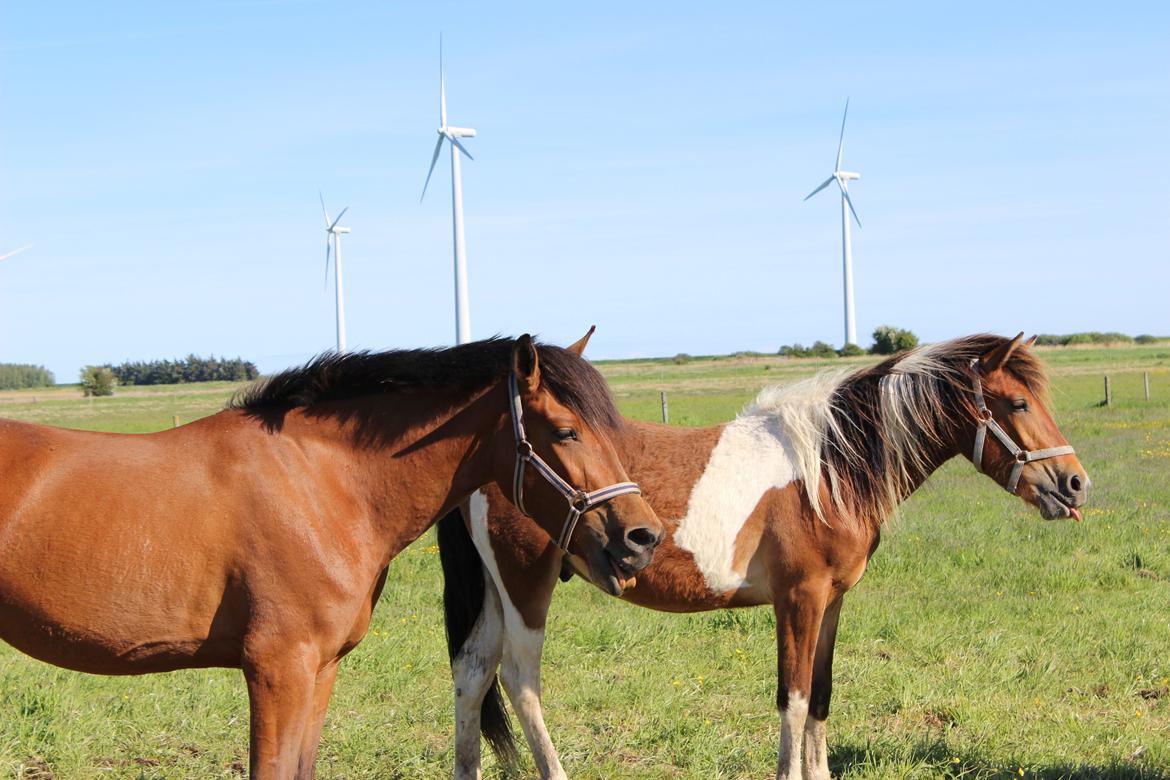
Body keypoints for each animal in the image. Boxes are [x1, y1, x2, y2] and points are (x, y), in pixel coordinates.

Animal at [439, 334, 1085, 780]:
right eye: (1018, 403)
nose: (1075, 484)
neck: (827, 469)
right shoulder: (798, 599)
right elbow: (792, 701)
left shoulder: (831, 602)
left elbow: (820, 695)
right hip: (526, 586)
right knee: (521, 680)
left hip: (498, 591)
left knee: (472, 672)